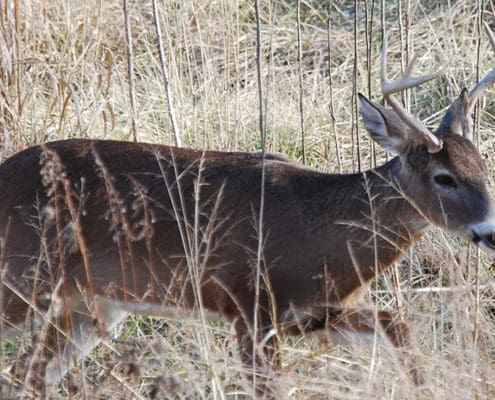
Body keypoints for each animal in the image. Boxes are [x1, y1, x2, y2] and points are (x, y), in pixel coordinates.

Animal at [0, 39, 495, 396]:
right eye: (444, 178)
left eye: (483, 167)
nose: (489, 232)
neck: (322, 233)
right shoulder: (250, 304)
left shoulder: (317, 314)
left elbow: (398, 325)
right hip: (24, 278)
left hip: (89, 305)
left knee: (29, 375)